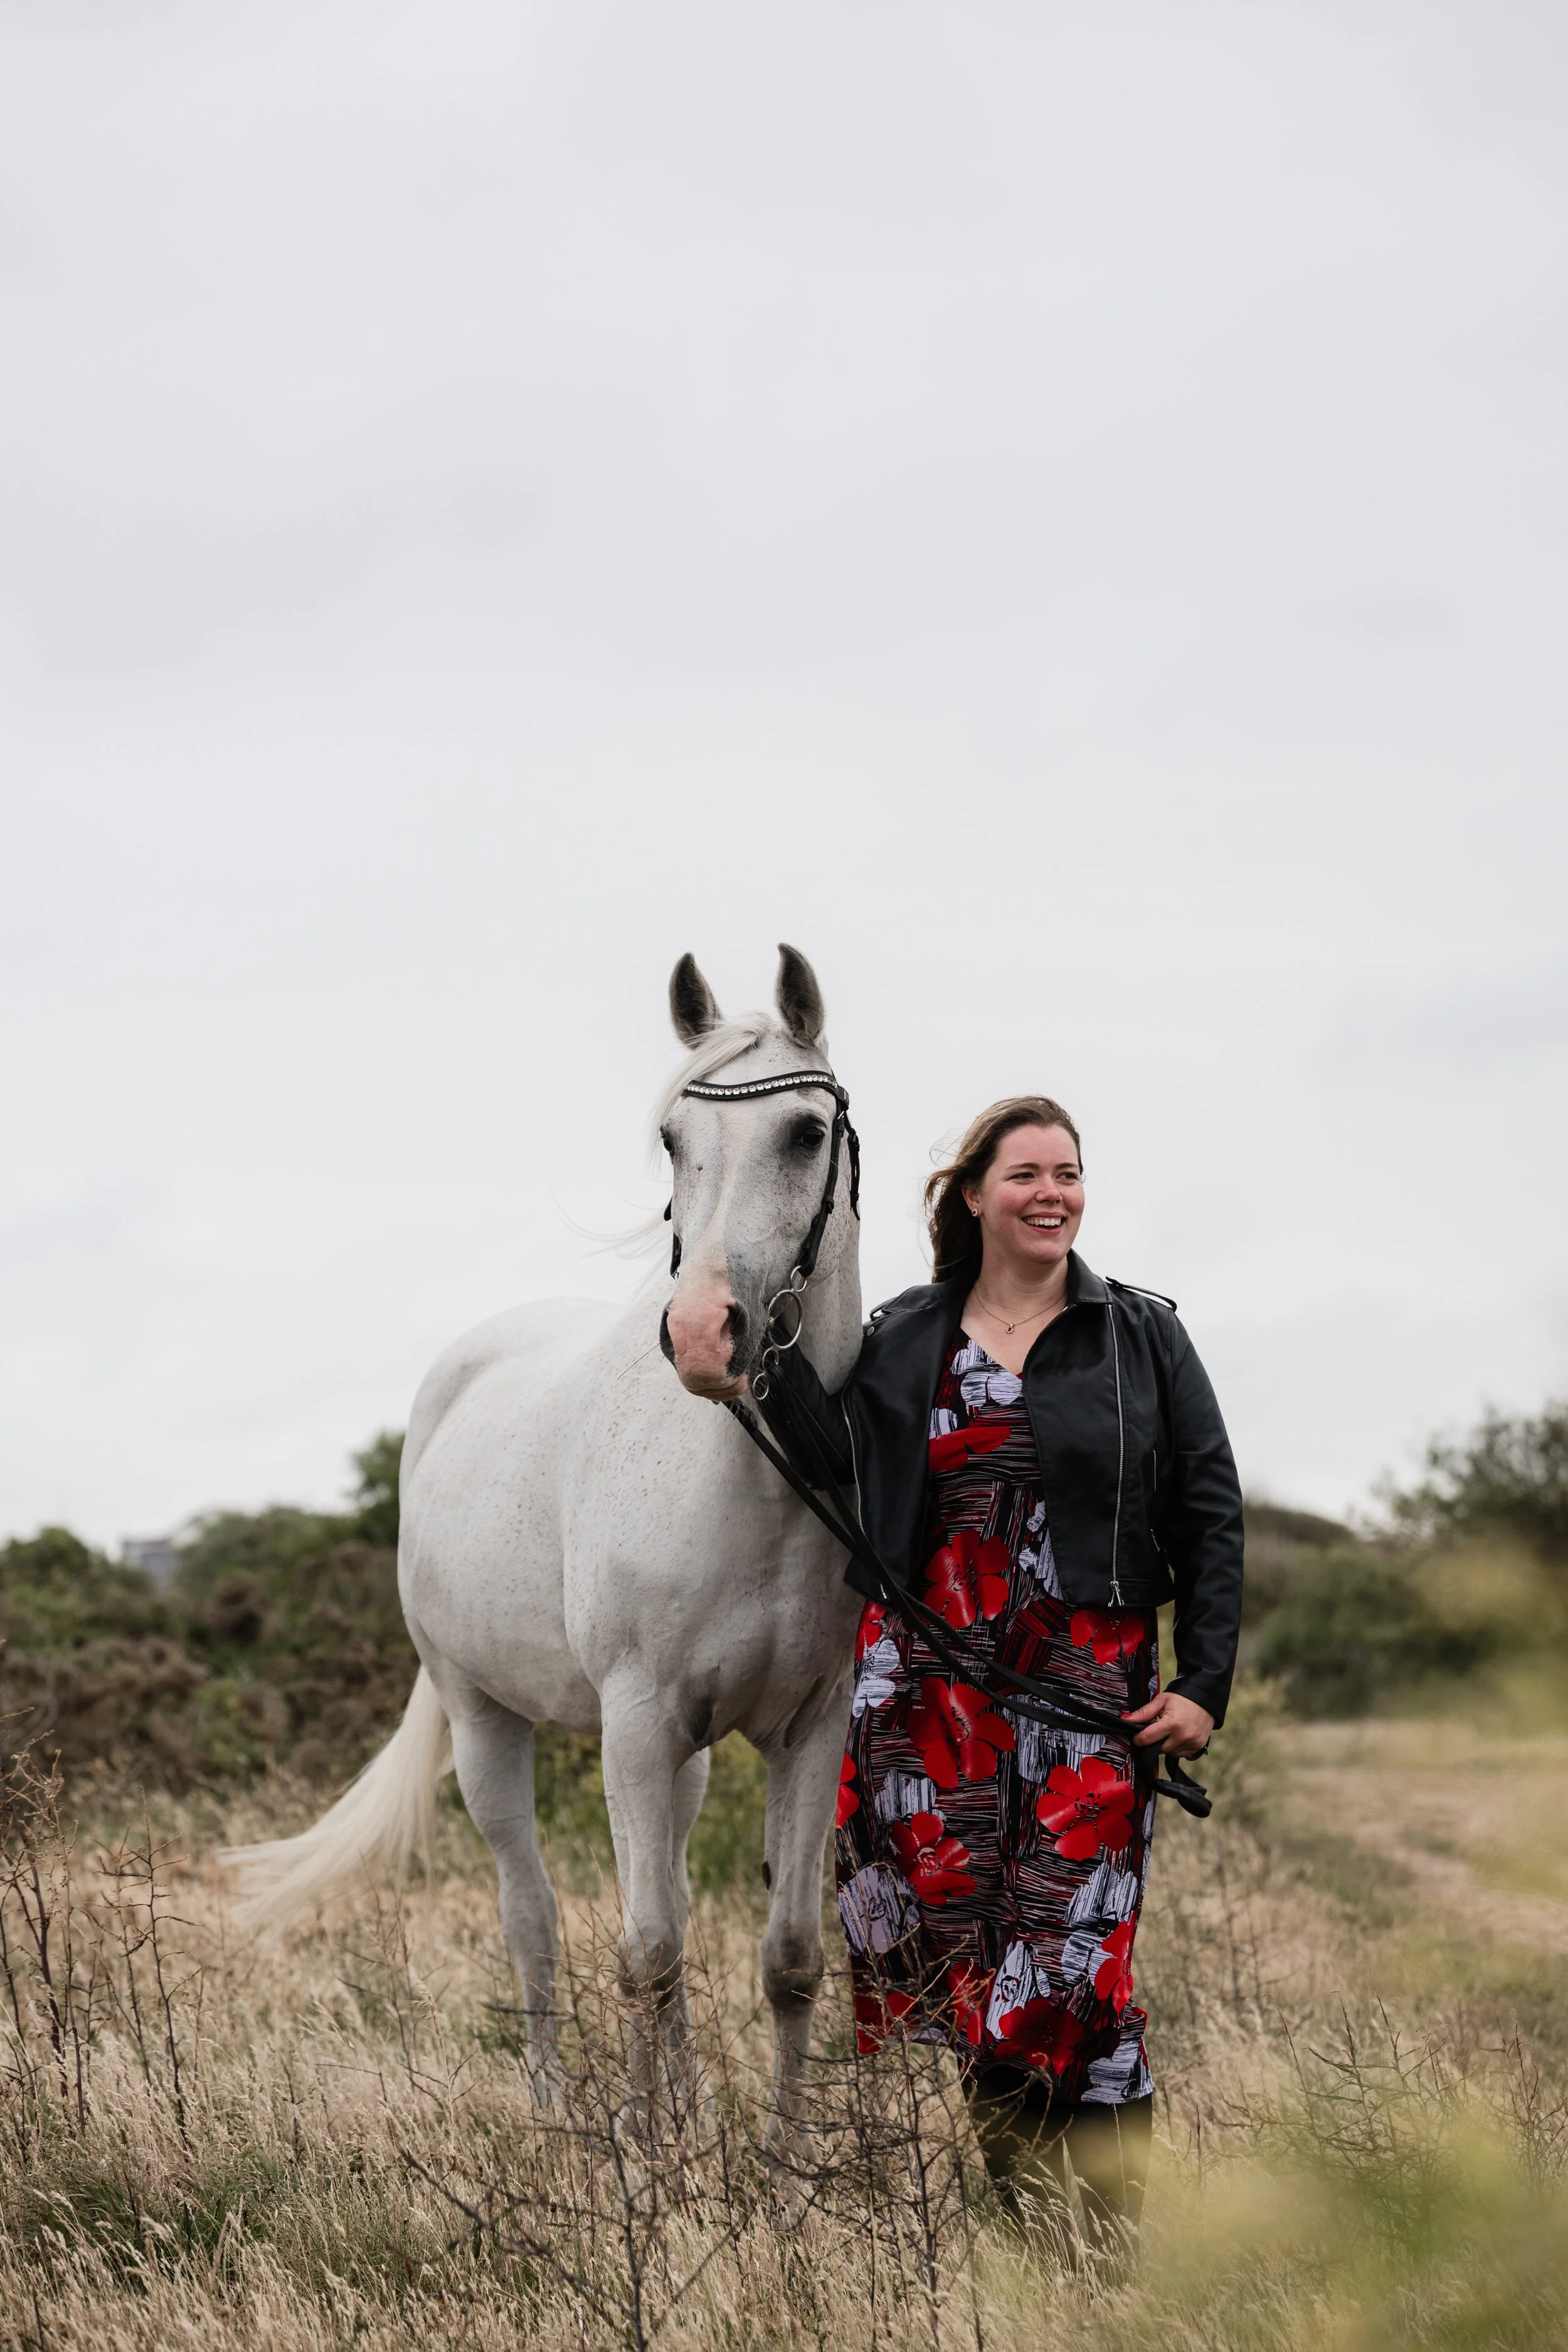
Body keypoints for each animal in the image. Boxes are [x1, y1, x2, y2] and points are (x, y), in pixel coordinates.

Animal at [224, 944, 865, 2163]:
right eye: (672, 1136)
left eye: (807, 1133)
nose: (702, 1335)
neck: (748, 1475)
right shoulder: (636, 1721)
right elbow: (645, 1954)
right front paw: (656, 2165)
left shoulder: (807, 1730)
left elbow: (789, 1958)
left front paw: (781, 2164)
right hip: (486, 1720)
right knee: (537, 1918)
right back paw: (560, 2106)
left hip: (680, 1757)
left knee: (661, 1899)